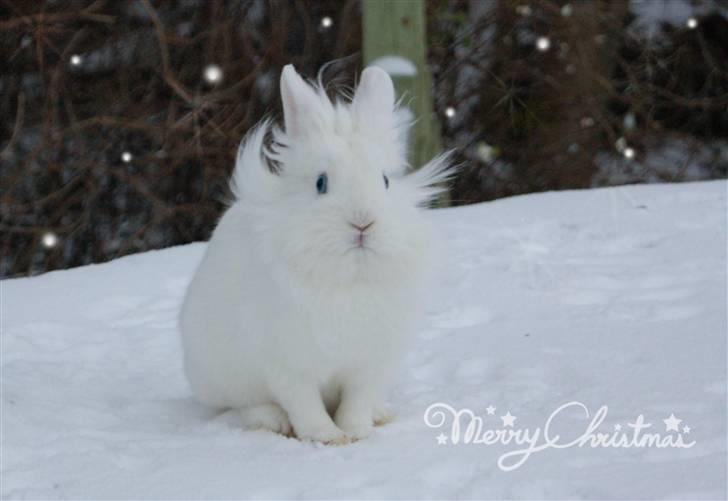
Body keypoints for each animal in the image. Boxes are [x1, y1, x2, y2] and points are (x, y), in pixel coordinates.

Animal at [178, 64, 450, 444]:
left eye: (385, 181)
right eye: (321, 183)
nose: (363, 223)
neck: (349, 277)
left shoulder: (368, 363)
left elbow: (356, 400)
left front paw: (357, 432)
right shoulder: (287, 364)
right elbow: (304, 404)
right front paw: (328, 438)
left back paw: (381, 413)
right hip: (225, 376)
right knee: (245, 405)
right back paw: (272, 421)